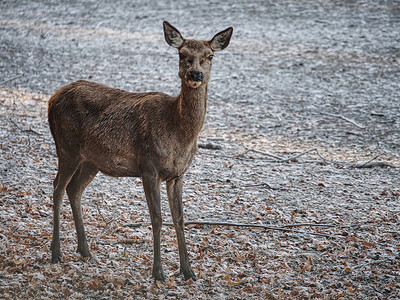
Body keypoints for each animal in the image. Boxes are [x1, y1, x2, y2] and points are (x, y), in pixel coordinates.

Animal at [48, 21, 233, 282]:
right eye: (182, 54)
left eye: (210, 56)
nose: (195, 74)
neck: (178, 132)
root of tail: (51, 99)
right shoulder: (149, 167)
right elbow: (157, 218)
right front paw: (158, 273)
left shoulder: (178, 174)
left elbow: (179, 218)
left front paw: (188, 272)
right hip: (66, 147)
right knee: (57, 187)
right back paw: (56, 252)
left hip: (91, 160)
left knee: (74, 189)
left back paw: (86, 251)